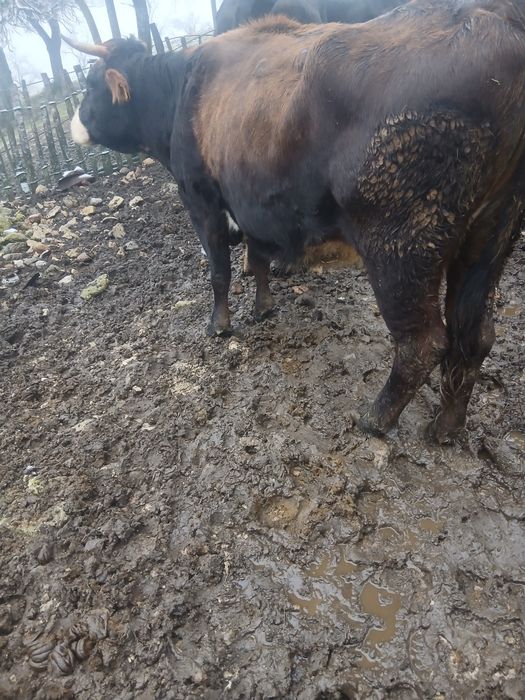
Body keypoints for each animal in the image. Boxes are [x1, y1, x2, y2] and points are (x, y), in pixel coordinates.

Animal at [65, 0, 525, 443]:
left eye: (89, 85)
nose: (74, 125)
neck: (182, 90)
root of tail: (496, 19)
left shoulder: (201, 198)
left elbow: (219, 270)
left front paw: (219, 325)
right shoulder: (251, 201)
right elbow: (258, 259)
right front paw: (263, 307)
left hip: (403, 243)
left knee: (423, 342)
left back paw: (376, 418)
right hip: (491, 233)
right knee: (475, 333)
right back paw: (447, 426)